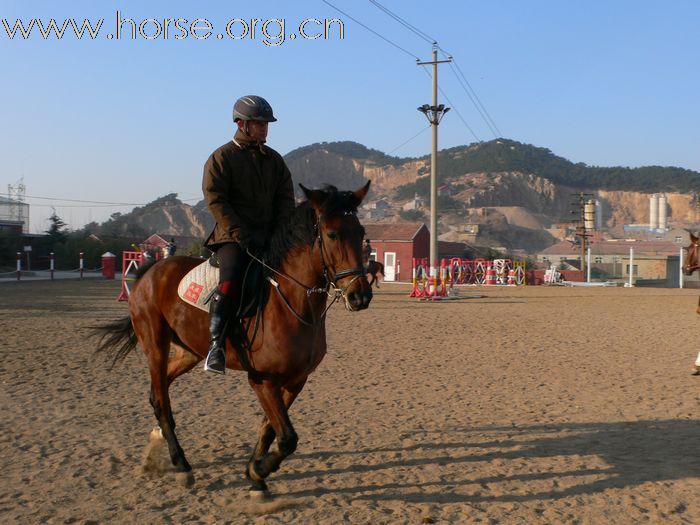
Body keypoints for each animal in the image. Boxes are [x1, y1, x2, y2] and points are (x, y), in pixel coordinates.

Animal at [97, 183, 378, 492]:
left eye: (361, 233)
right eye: (332, 234)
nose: (360, 296)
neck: (290, 301)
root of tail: (151, 272)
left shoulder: (296, 380)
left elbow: (269, 429)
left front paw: (255, 472)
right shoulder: (262, 380)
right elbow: (287, 437)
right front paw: (260, 470)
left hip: (188, 352)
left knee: (158, 390)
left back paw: (158, 440)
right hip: (155, 347)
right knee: (160, 398)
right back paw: (180, 463)